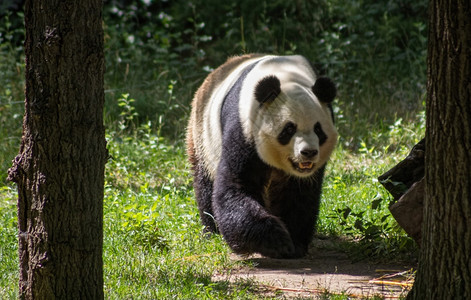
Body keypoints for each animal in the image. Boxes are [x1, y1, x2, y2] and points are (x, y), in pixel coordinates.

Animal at [186, 54, 338, 258]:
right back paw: (212, 230)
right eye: (289, 129)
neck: (287, 77)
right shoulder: (245, 128)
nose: (308, 152)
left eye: (318, 130)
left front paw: (295, 243)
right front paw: (275, 242)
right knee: (205, 183)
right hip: (202, 133)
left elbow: (298, 195)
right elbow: (236, 186)